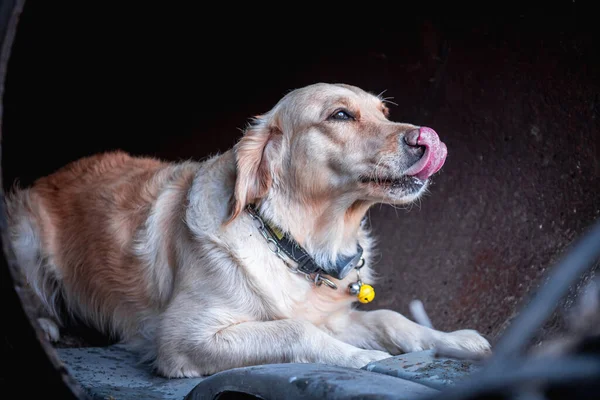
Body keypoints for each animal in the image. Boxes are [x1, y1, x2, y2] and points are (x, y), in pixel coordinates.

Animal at [5, 83, 492, 376]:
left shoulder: (335, 316)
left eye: (385, 111)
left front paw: (454, 339)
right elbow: (294, 331)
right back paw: (47, 325)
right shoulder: (183, 338)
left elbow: (391, 319)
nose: (425, 138)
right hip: (23, 232)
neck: (296, 243)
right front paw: (361, 357)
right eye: (340, 115)